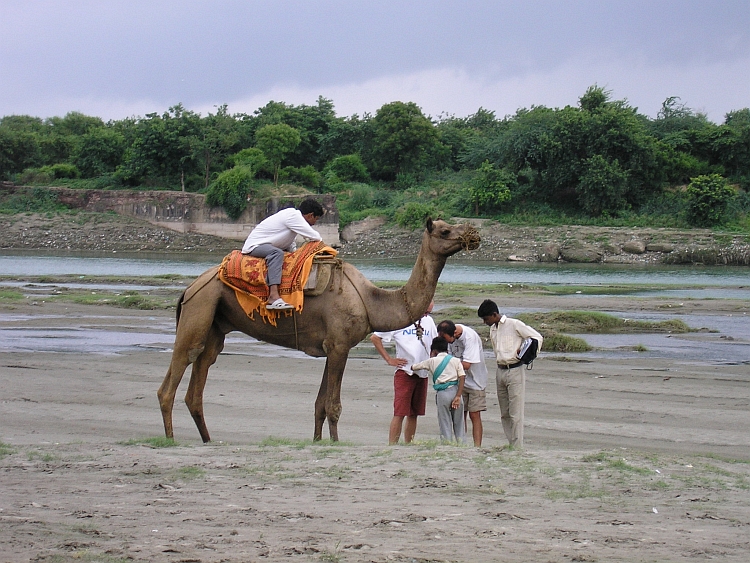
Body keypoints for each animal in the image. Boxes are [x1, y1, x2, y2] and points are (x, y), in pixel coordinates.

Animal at [159, 218, 482, 442]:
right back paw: (171, 439)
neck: (370, 299)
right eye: (444, 231)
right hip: (200, 306)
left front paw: (317, 441)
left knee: (202, 371)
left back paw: (207, 439)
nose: (474, 235)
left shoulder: (331, 347)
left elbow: (319, 404)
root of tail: (189, 288)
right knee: (178, 371)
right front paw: (335, 443)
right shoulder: (340, 345)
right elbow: (333, 405)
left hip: (215, 322)